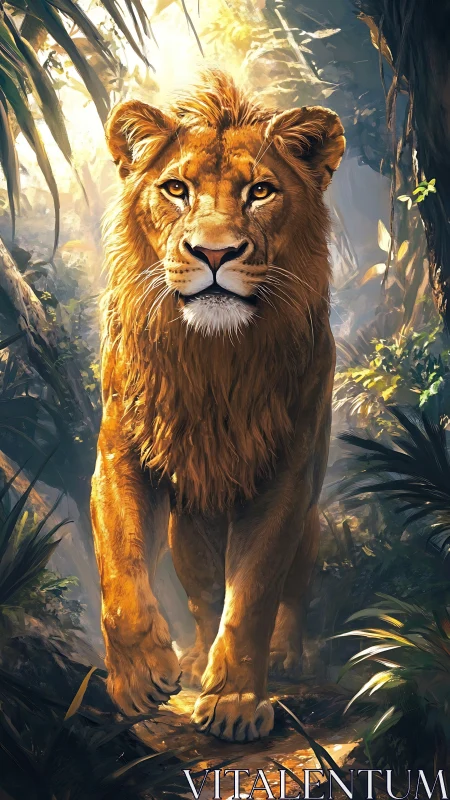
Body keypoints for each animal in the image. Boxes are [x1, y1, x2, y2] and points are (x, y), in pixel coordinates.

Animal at [91, 69, 345, 742]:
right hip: (189, 527)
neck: (213, 358)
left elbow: (254, 592)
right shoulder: (119, 452)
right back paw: (191, 658)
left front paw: (234, 703)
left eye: (260, 191)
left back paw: (285, 655)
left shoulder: (286, 473)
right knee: (204, 597)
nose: (213, 253)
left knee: (291, 590)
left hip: (309, 516)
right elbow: (119, 568)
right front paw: (139, 678)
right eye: (176, 189)